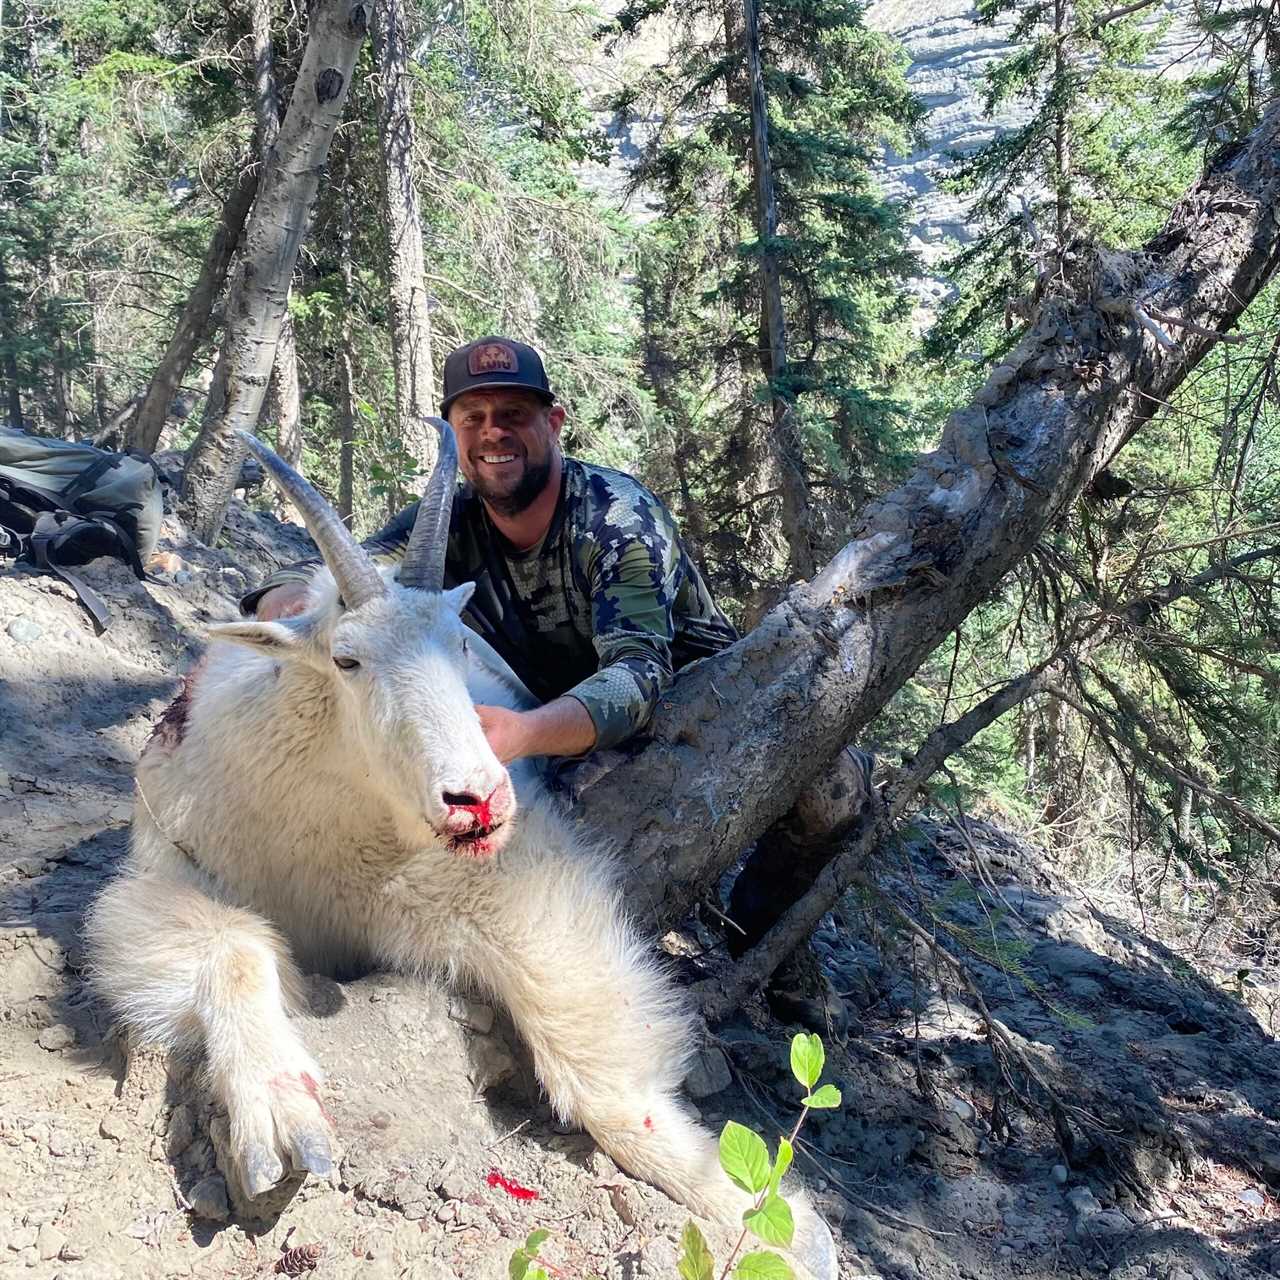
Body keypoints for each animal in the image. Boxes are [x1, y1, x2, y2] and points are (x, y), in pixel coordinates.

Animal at [82, 422, 839, 1280]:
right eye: (346, 658)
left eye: (460, 644)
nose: (478, 799)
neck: (329, 819)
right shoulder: (161, 870)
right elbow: (228, 945)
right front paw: (278, 1116)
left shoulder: (514, 883)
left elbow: (600, 1070)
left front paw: (782, 1222)